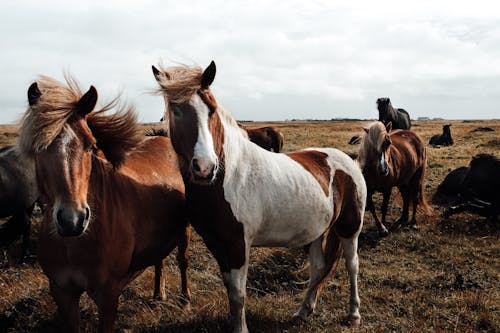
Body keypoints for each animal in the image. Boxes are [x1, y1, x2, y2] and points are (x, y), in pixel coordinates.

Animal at [18, 76, 191, 332]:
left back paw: (185, 300)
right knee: (159, 258)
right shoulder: (63, 293)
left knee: (182, 261)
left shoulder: (108, 295)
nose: (72, 220)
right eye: (40, 148)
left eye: (91, 145)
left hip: (185, 230)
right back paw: (158, 295)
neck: (74, 245)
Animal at [150, 61, 366, 330]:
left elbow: (239, 294)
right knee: (318, 268)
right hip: (318, 230)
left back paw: (354, 314)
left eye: (211, 110)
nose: (204, 167)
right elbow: (231, 292)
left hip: (350, 227)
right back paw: (304, 310)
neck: (229, 177)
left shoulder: (238, 246)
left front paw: (240, 328)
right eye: (175, 111)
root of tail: (349, 162)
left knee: (352, 265)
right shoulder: (218, 245)